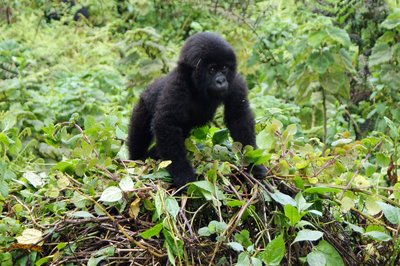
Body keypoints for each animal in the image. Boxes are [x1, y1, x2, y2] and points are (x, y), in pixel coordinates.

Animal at [126, 32, 268, 188]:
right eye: (212, 70)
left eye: (224, 68)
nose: (221, 81)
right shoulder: (177, 85)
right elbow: (166, 123)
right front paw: (183, 173)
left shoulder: (235, 82)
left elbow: (239, 118)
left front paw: (253, 165)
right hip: (142, 104)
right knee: (139, 131)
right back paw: (137, 158)